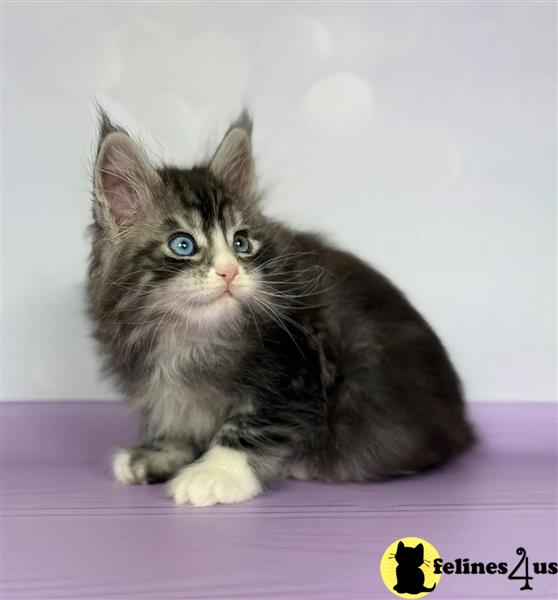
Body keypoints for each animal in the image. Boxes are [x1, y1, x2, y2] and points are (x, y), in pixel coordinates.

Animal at [88, 109, 476, 506]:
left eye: (241, 243)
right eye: (183, 244)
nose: (229, 271)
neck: (192, 337)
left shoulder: (297, 371)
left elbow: (251, 425)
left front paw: (215, 472)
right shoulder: (170, 392)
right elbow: (179, 423)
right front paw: (157, 455)